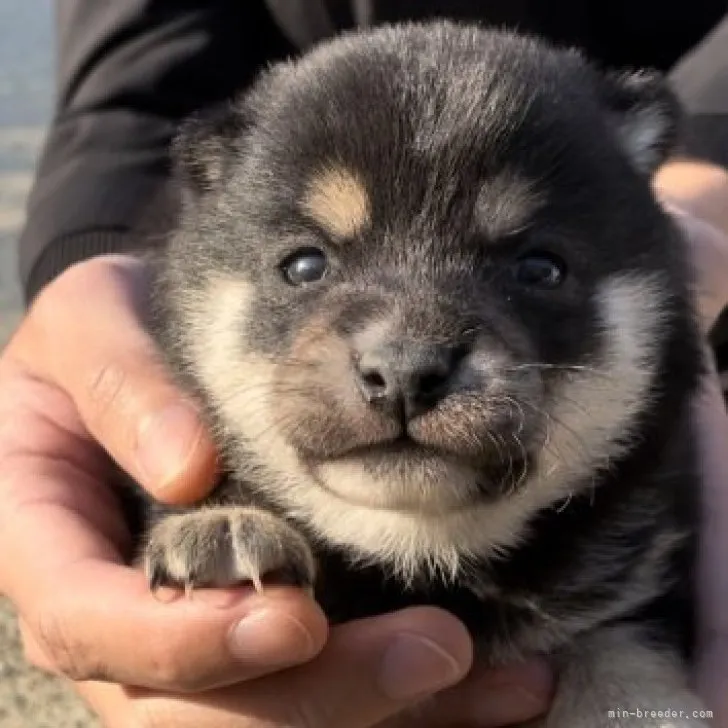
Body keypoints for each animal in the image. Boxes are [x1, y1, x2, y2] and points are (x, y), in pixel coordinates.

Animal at [139, 19, 708, 724]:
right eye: (305, 266)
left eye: (540, 268)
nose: (404, 372)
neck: (423, 556)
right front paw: (223, 523)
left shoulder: (633, 583)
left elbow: (621, 655)